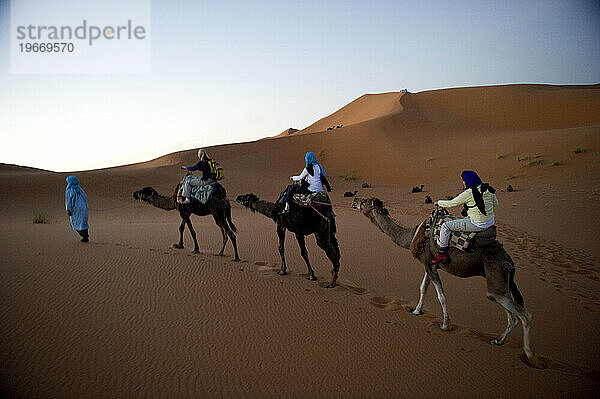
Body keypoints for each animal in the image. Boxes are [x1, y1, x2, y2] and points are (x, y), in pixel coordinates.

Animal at [352, 198, 536, 364]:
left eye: (365, 201)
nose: (355, 201)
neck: (412, 236)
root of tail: (509, 262)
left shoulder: (430, 265)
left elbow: (441, 296)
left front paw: (445, 325)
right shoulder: (429, 264)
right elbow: (423, 288)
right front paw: (416, 311)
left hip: (495, 276)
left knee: (523, 314)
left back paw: (529, 355)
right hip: (500, 282)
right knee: (511, 315)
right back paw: (498, 341)